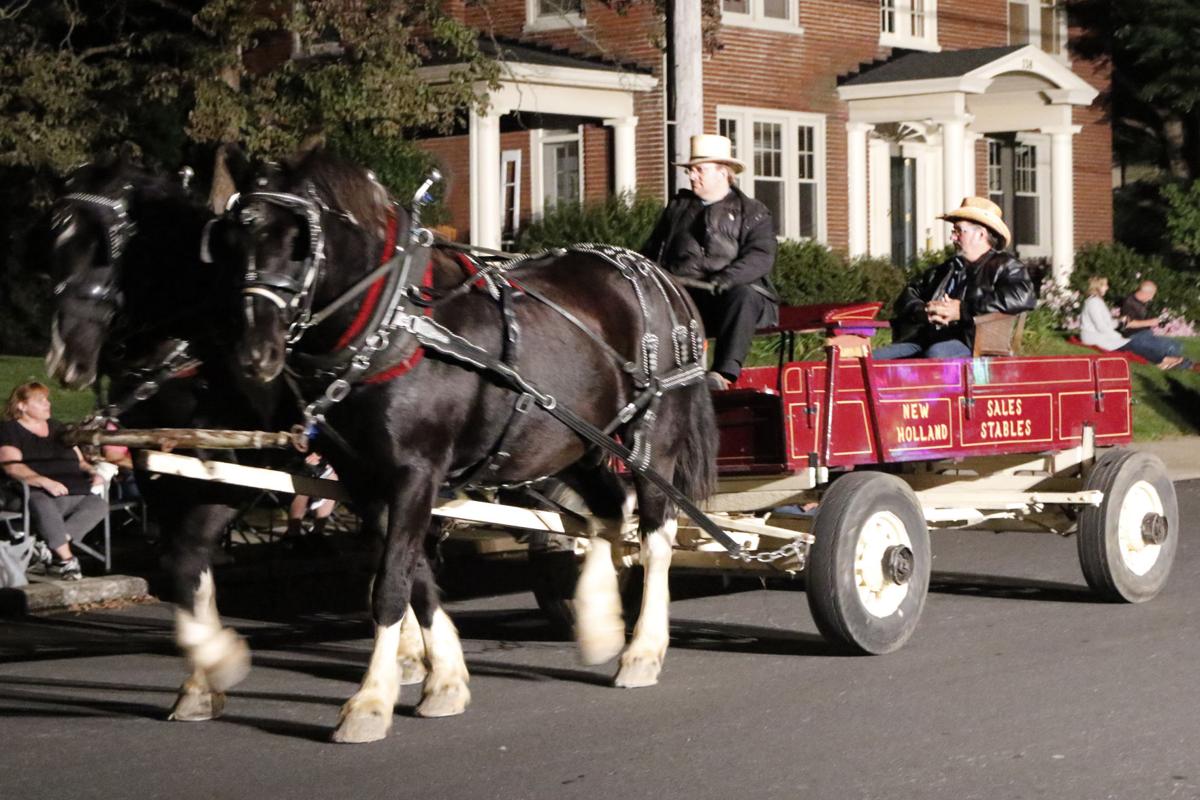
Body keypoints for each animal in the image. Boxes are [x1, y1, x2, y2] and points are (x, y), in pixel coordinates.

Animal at [43, 155, 288, 724]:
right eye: (51, 242)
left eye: (105, 247)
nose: (65, 358)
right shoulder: (162, 474)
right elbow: (184, 564)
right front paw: (200, 681)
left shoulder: (232, 474)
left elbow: (185, 556)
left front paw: (218, 660)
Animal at [235, 149, 715, 743]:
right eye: (237, 233)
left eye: (302, 239)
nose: (256, 354)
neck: (395, 322)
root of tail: (661, 277)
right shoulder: (365, 478)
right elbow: (413, 574)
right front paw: (444, 680)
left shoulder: (416, 470)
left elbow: (391, 583)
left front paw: (370, 702)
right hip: (577, 442)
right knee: (608, 513)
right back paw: (601, 623)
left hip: (651, 439)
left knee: (654, 535)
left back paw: (643, 651)